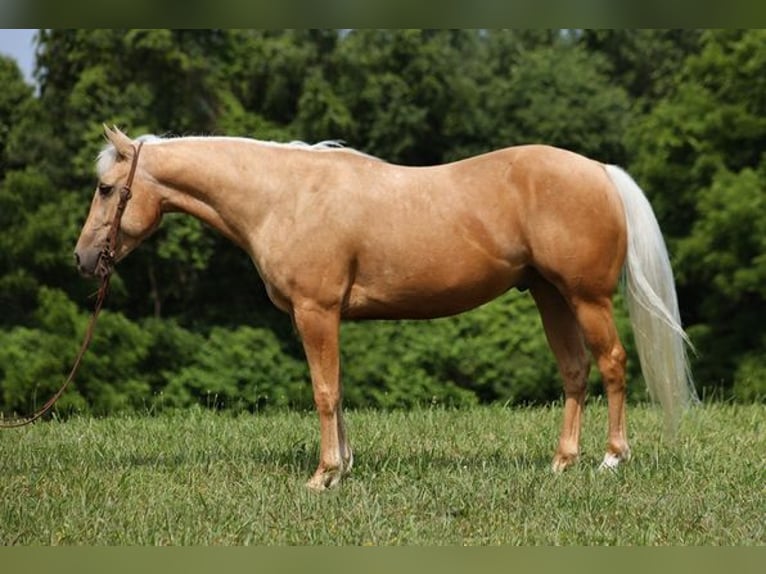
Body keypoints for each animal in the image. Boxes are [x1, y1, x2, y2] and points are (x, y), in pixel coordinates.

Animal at [76, 126, 696, 490]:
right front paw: (343, 465)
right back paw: (562, 462)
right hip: (549, 295)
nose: (82, 258)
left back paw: (612, 458)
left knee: (612, 363)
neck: (285, 197)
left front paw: (323, 476)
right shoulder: (321, 318)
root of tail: (599, 170)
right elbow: (337, 389)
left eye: (106, 188)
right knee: (574, 370)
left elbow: (324, 392)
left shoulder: (316, 311)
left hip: (587, 297)